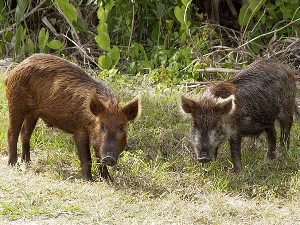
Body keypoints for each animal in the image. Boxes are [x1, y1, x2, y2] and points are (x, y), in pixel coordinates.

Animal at [4, 53, 141, 181]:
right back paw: (12, 164)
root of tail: (17, 68)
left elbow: (98, 156)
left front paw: (108, 180)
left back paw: (27, 162)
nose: (109, 157)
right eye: (102, 126)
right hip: (16, 102)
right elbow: (87, 158)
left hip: (33, 112)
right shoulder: (79, 131)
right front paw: (89, 180)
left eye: (121, 128)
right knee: (11, 132)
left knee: (25, 133)